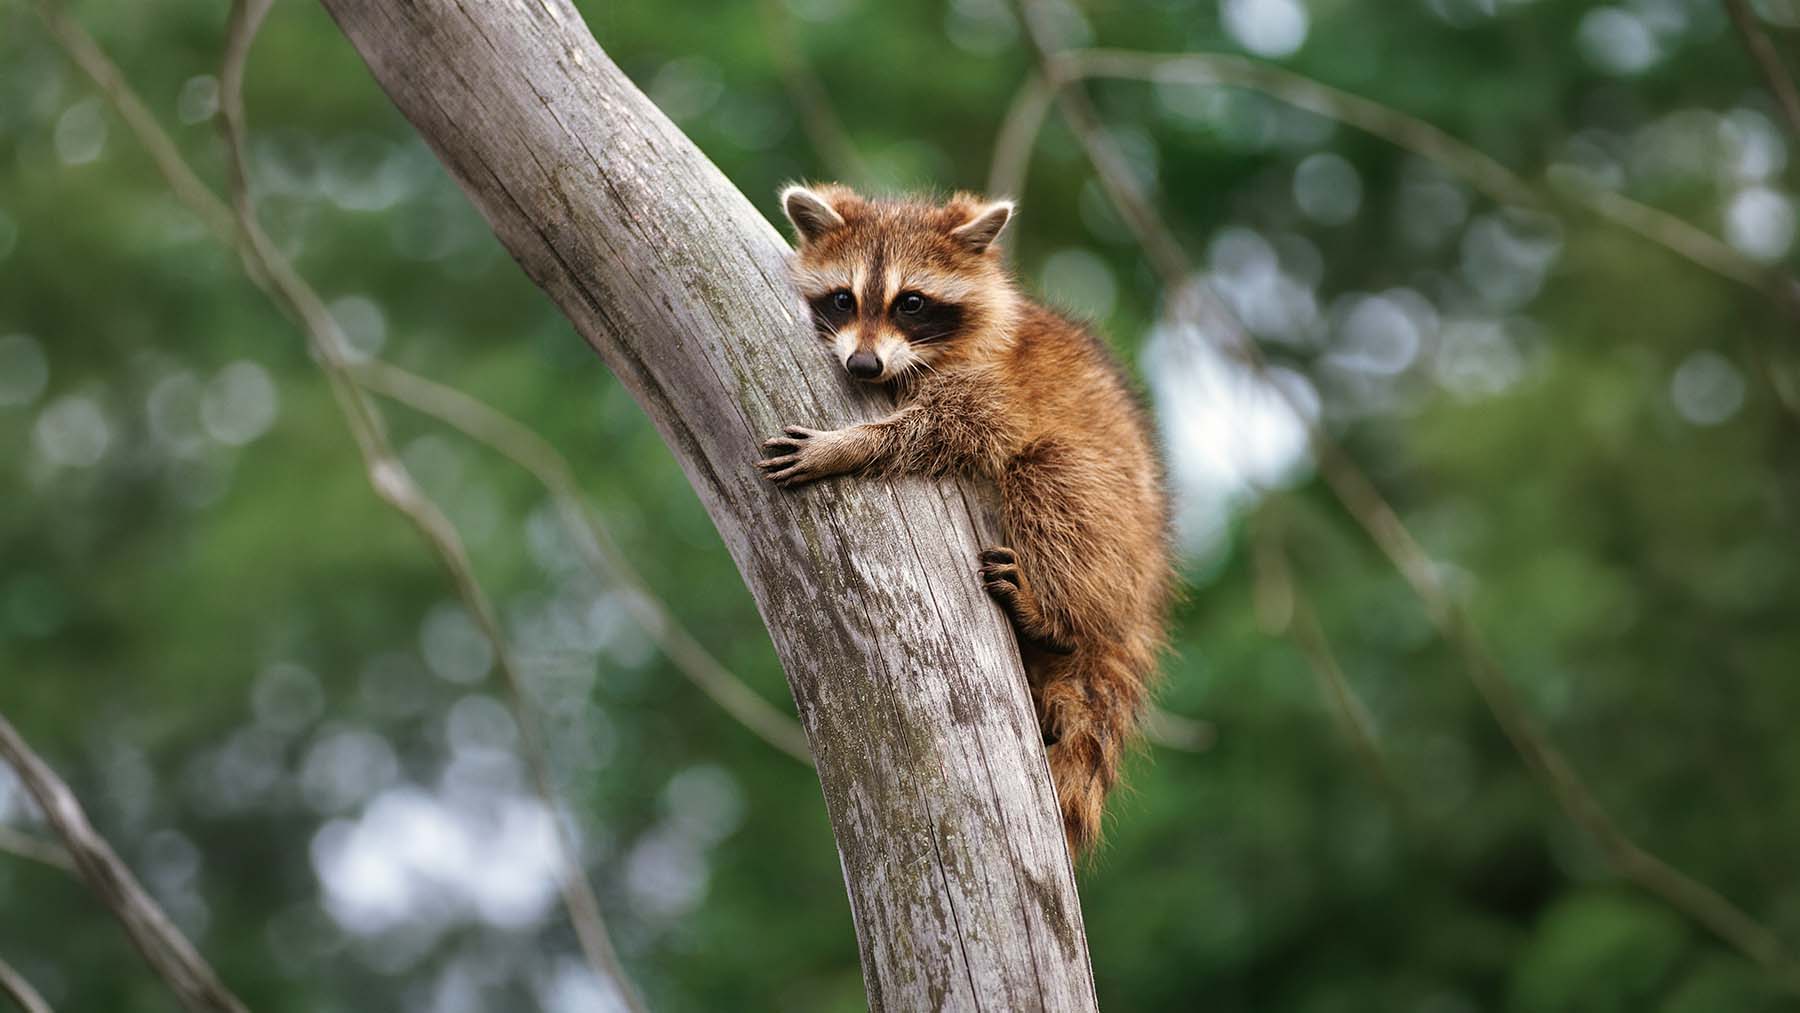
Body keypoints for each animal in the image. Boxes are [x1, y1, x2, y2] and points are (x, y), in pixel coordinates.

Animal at [758, 184, 1173, 855]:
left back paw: (1054, 614)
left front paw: (848, 445)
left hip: (1112, 525)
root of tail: (1142, 599)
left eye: (912, 303)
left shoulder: (998, 384)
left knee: (1051, 475)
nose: (864, 367)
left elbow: (956, 428)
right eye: (844, 297)